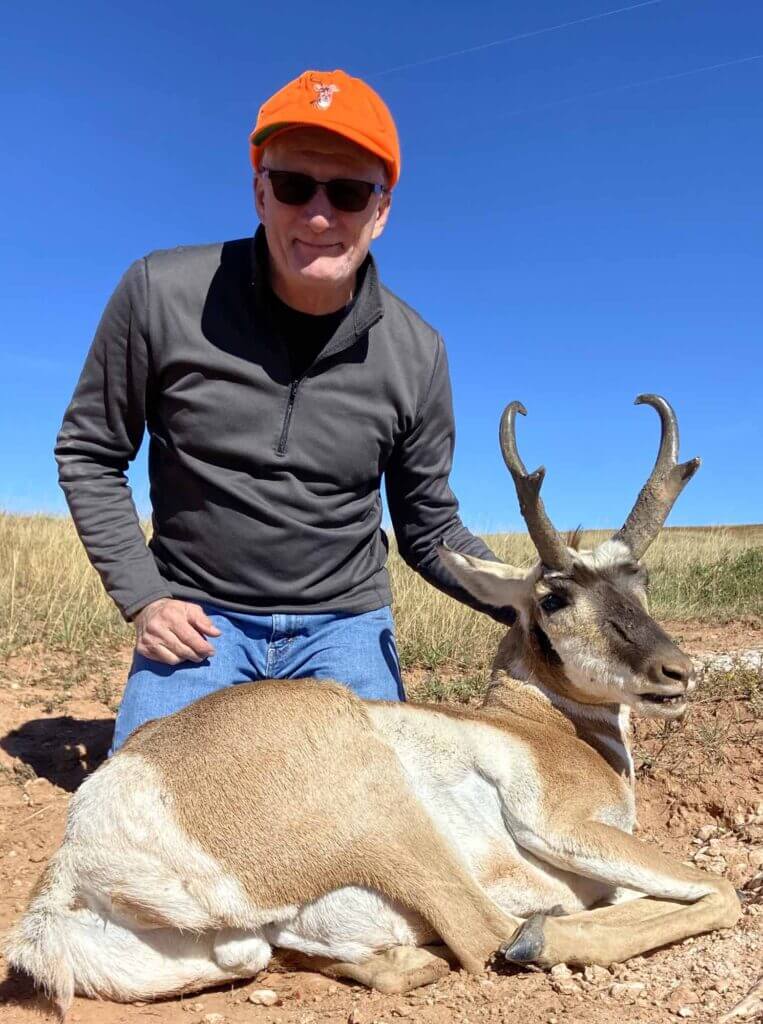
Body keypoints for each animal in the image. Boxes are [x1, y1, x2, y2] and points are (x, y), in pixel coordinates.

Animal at [6, 395, 743, 1020]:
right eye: (555, 597)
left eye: (640, 581)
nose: (677, 672)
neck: (537, 726)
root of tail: (81, 847)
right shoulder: (567, 828)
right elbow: (721, 891)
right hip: (392, 821)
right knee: (489, 932)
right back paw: (529, 937)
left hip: (235, 951)